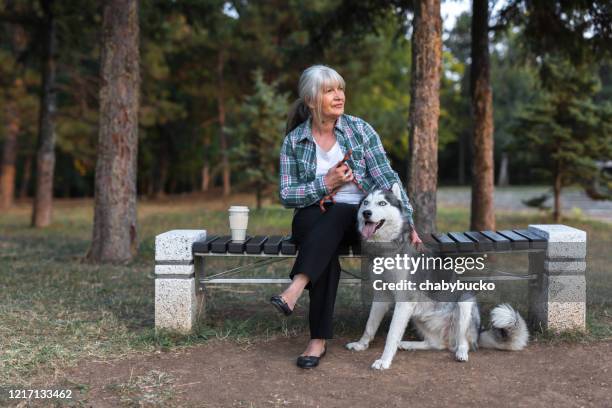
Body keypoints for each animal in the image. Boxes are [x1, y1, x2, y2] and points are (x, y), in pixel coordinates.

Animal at [346, 184, 528, 370]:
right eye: (366, 203)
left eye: (382, 203)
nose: (366, 213)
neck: (387, 250)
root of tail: (478, 334)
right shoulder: (381, 294)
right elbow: (370, 325)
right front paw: (361, 344)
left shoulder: (405, 301)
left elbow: (391, 336)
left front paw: (384, 361)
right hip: (419, 318)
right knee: (436, 344)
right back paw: (408, 344)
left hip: (465, 301)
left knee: (463, 342)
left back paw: (461, 353)